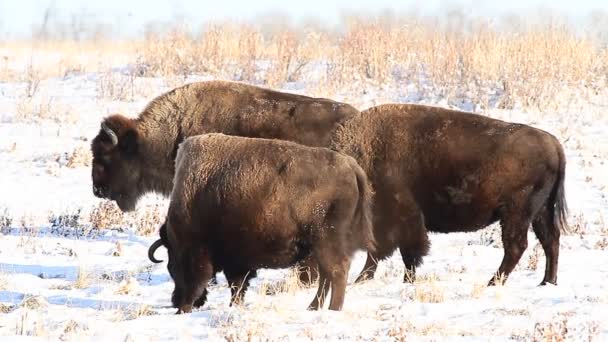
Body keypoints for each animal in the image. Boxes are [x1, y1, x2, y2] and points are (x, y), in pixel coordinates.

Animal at [147, 134, 376, 312]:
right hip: (319, 247)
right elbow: (237, 285)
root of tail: (351, 166)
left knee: (337, 271)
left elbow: (213, 280)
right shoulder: (236, 261)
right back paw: (313, 307)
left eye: (172, 265)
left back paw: (331, 309)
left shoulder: (202, 252)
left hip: (326, 242)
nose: (176, 302)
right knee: (327, 276)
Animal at [330, 104, 568, 286]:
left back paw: (493, 282)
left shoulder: (402, 219)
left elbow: (403, 252)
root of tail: (554, 145)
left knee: (517, 246)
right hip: (540, 212)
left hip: (516, 213)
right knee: (550, 241)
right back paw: (547, 282)